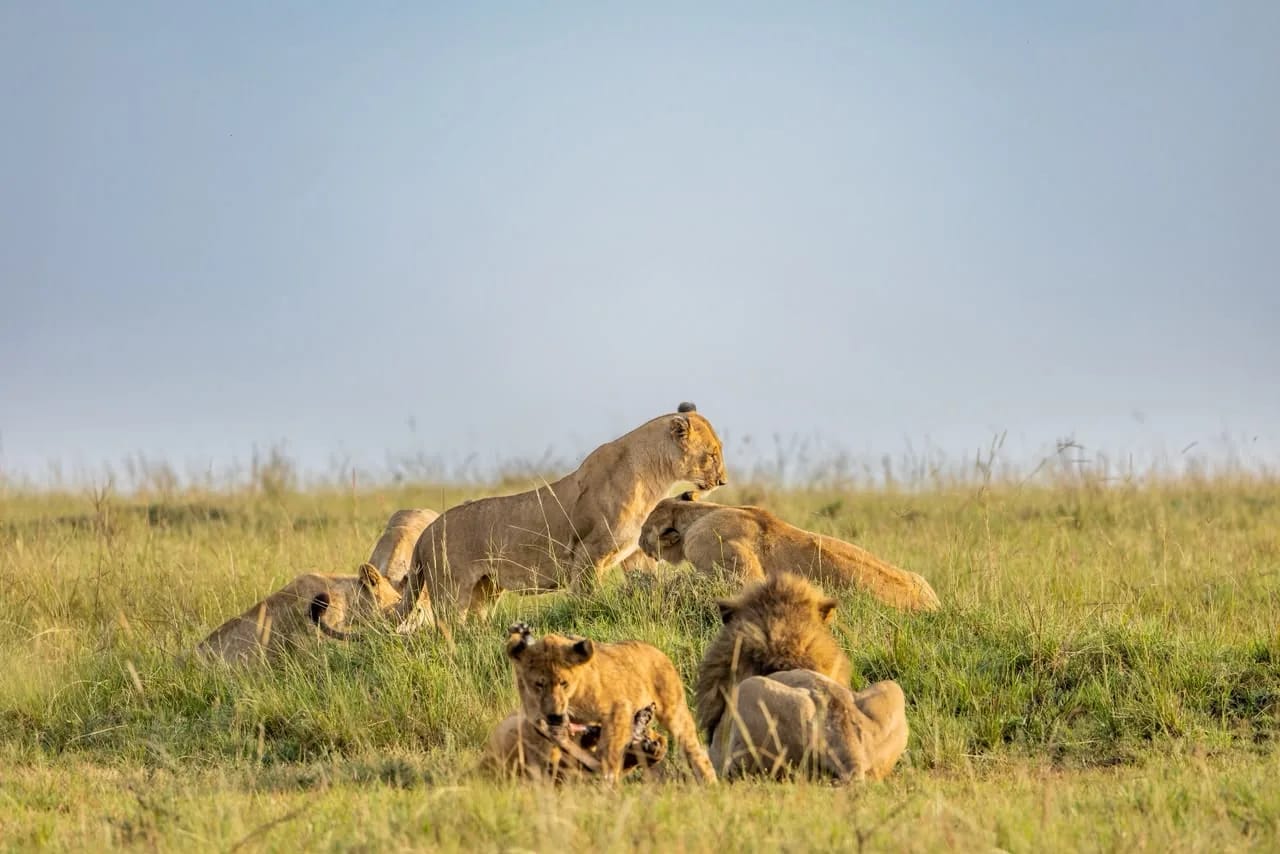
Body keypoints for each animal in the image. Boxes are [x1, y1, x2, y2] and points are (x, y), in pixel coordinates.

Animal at [397, 403, 726, 632]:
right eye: (712, 455)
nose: (722, 481)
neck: (656, 478)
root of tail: (425, 532)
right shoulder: (587, 553)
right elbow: (587, 599)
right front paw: (587, 621)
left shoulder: (634, 553)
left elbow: (646, 583)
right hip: (451, 592)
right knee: (447, 629)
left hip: (485, 589)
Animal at [504, 622, 717, 783]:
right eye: (538, 684)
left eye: (564, 683)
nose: (554, 715)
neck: (573, 698)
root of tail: (656, 650)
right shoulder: (536, 717)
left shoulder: (618, 708)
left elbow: (611, 752)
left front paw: (608, 779)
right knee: (659, 739)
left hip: (674, 711)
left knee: (692, 749)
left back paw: (709, 783)